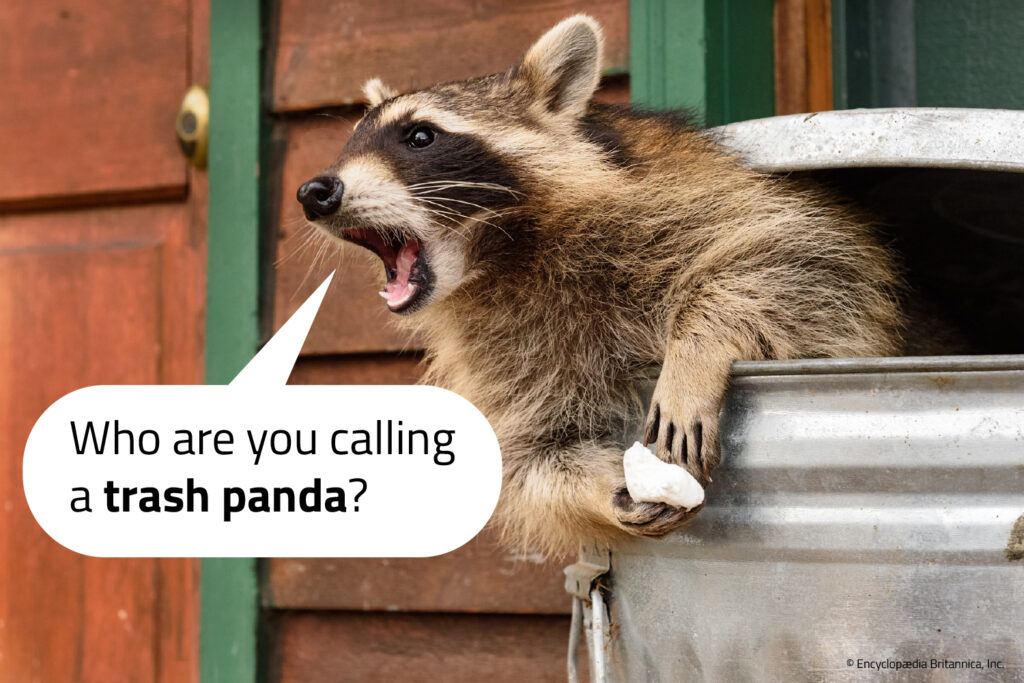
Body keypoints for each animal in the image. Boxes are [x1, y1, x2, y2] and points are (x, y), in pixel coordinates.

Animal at [297, 15, 903, 556]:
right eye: (350, 142)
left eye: (420, 136)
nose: (314, 191)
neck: (502, 258)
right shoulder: (504, 350)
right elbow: (534, 452)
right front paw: (602, 488)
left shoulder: (691, 197)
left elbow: (803, 260)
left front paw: (696, 348)